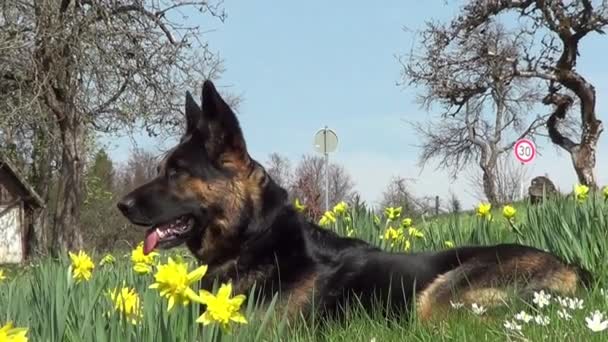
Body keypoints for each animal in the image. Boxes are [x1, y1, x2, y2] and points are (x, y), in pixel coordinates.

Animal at [116, 81, 592, 322]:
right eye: (163, 168)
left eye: (176, 172)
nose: (121, 205)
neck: (254, 240)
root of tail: (573, 270)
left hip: (437, 295)